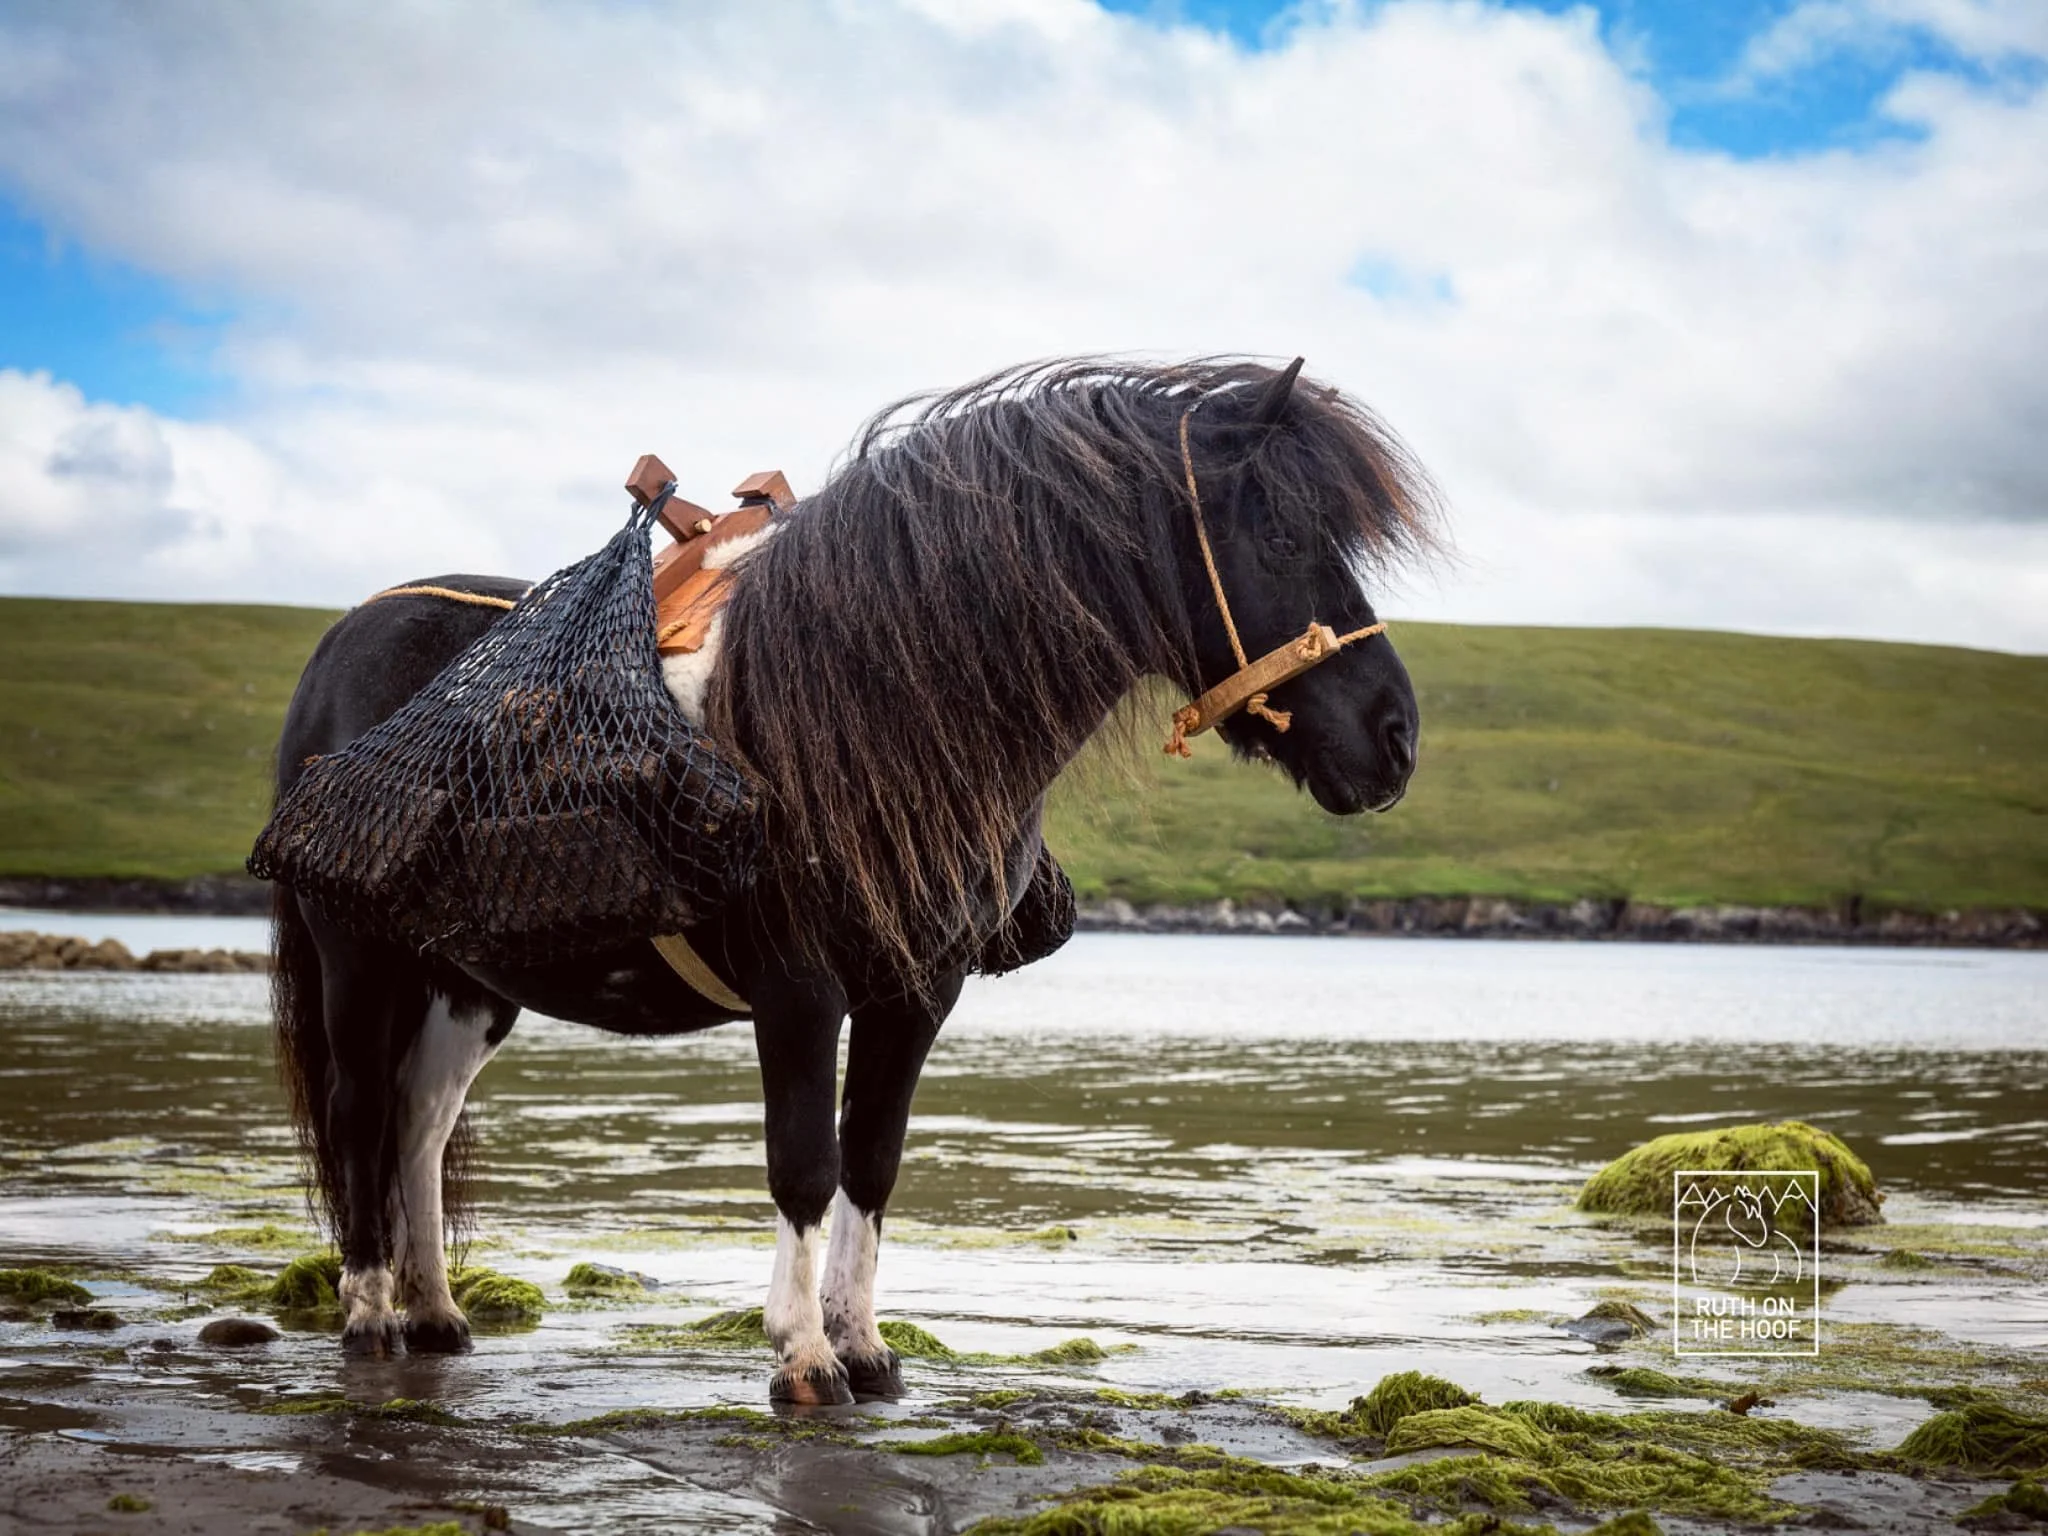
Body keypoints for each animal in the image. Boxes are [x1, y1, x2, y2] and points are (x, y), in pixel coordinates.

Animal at [266, 356, 1439, 1404]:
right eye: (1281, 534)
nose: (1395, 740)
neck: (864, 702)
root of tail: (343, 640)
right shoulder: (798, 990)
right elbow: (803, 1164)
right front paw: (801, 1357)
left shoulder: (917, 990)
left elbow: (870, 1161)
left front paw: (864, 1347)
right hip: (359, 958)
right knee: (360, 1108)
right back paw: (370, 1315)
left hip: (466, 977)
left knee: (421, 1122)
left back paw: (435, 1311)